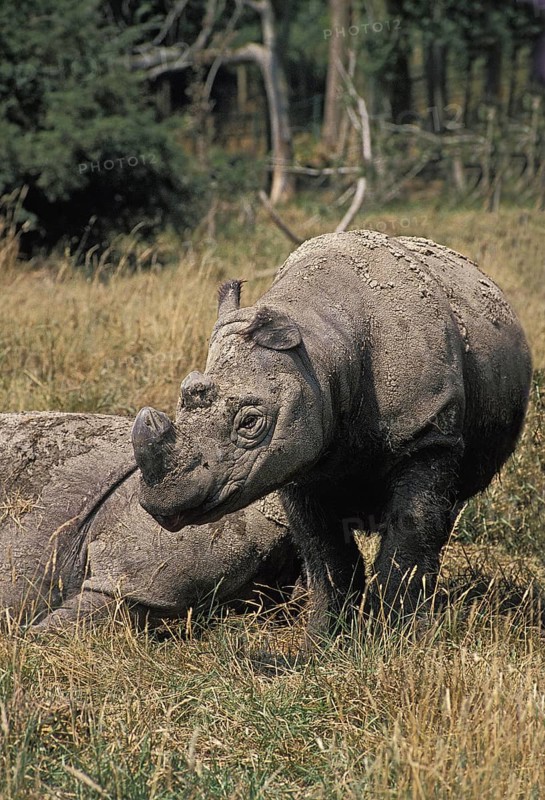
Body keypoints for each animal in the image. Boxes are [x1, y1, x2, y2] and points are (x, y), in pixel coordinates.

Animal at [132, 231, 533, 647]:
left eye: (251, 423)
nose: (165, 501)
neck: (321, 346)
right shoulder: (297, 460)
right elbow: (323, 553)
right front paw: (324, 640)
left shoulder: (427, 435)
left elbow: (409, 532)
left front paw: (398, 637)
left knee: (441, 510)